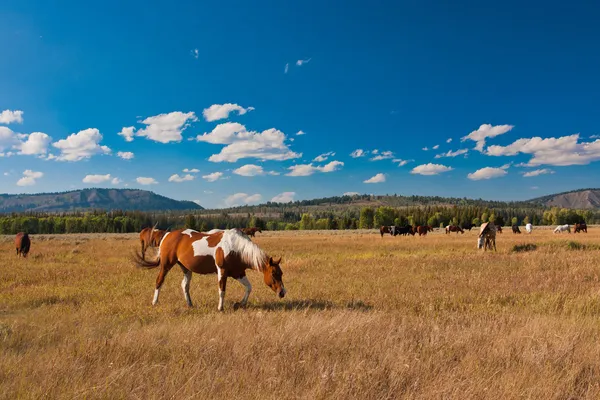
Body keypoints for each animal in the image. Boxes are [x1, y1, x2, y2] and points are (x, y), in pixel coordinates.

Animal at [135, 228, 284, 312]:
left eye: (281, 273)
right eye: (273, 273)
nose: (282, 292)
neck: (236, 247)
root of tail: (167, 235)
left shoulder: (238, 273)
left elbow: (249, 287)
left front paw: (239, 304)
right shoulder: (222, 271)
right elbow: (222, 290)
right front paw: (220, 308)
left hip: (186, 269)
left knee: (184, 286)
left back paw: (190, 304)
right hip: (166, 265)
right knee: (159, 281)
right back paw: (154, 302)